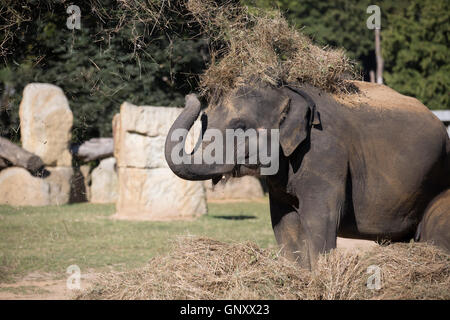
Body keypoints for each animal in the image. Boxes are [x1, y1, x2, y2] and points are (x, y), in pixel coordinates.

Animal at [165, 80, 450, 268]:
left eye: (240, 127)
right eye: (206, 121)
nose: (190, 95)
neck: (288, 91)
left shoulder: (325, 154)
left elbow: (319, 219)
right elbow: (284, 221)